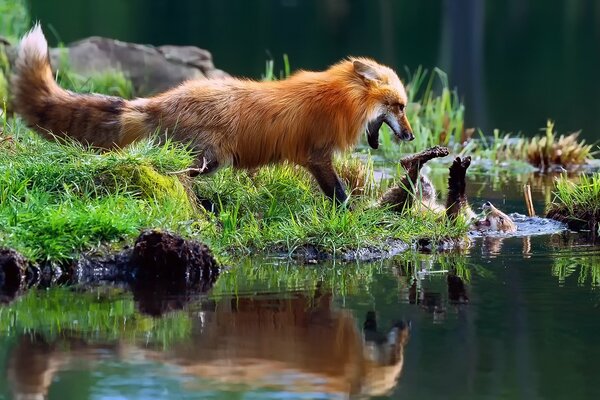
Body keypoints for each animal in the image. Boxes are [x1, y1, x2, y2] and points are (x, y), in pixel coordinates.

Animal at [11, 24, 412, 203]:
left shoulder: (315, 157)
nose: (409, 136)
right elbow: (339, 193)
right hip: (210, 159)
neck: (340, 99)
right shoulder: (317, 155)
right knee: (175, 173)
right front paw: (352, 213)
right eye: (399, 106)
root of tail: (160, 100)